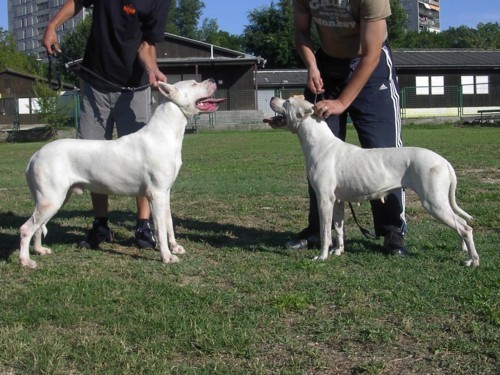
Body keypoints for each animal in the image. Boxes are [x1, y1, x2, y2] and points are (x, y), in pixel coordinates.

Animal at [18, 78, 224, 268]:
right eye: (194, 83)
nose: (214, 80)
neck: (165, 133)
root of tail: (35, 155)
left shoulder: (165, 193)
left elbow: (169, 224)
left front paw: (175, 247)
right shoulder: (156, 194)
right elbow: (160, 229)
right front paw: (167, 256)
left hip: (55, 198)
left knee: (38, 227)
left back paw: (39, 250)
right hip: (51, 199)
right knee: (27, 228)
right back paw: (25, 261)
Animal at [266, 97, 480, 268]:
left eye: (287, 102)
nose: (272, 97)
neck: (320, 144)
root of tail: (443, 161)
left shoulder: (324, 200)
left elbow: (325, 232)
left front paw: (322, 256)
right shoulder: (337, 201)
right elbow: (339, 229)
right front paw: (338, 251)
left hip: (433, 202)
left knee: (465, 228)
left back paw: (473, 260)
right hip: (439, 202)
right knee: (460, 224)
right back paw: (463, 250)